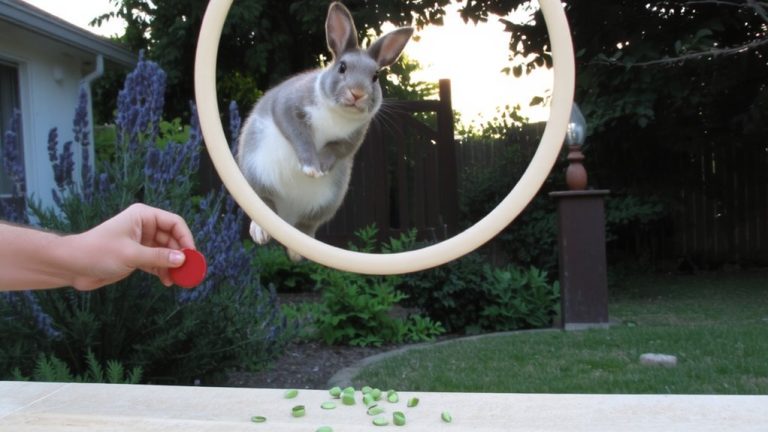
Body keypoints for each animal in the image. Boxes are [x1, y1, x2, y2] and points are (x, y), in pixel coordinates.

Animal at [237, 1, 413, 262]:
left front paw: (323, 167)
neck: (337, 112)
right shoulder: (288, 109)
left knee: (306, 224)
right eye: (342, 67)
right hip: (256, 177)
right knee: (264, 204)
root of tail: (286, 217)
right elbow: (300, 137)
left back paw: (297, 252)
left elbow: (335, 150)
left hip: (326, 204)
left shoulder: (352, 139)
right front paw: (312, 168)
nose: (357, 93)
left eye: (375, 76)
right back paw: (261, 232)